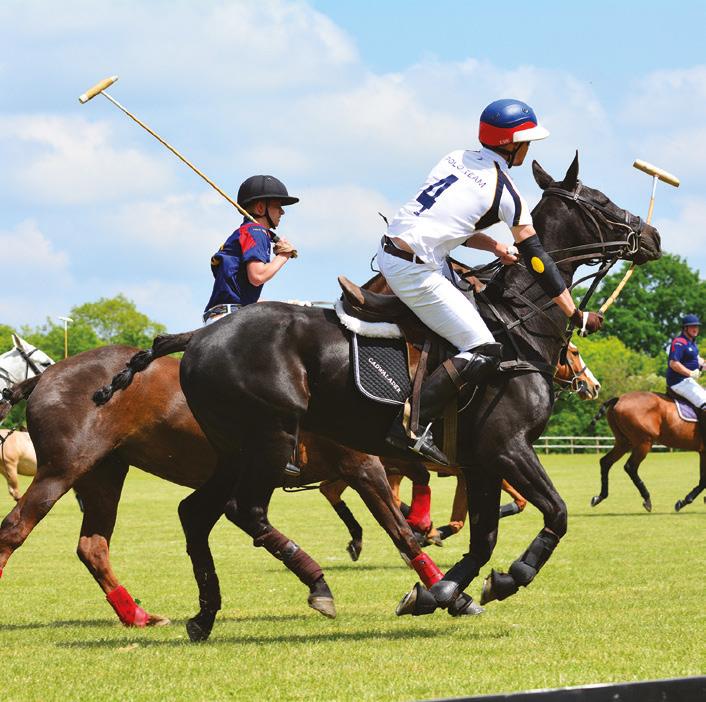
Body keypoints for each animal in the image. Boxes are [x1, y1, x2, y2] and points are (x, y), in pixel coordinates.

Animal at [100, 153, 659, 641]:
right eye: (601, 201)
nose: (652, 235)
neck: (518, 325)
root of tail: (197, 338)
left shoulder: (478, 460)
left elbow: (481, 538)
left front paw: (439, 593)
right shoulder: (506, 447)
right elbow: (555, 514)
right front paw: (505, 578)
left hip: (232, 447)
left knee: (196, 514)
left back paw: (204, 615)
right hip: (269, 437)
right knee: (246, 510)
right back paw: (315, 586)